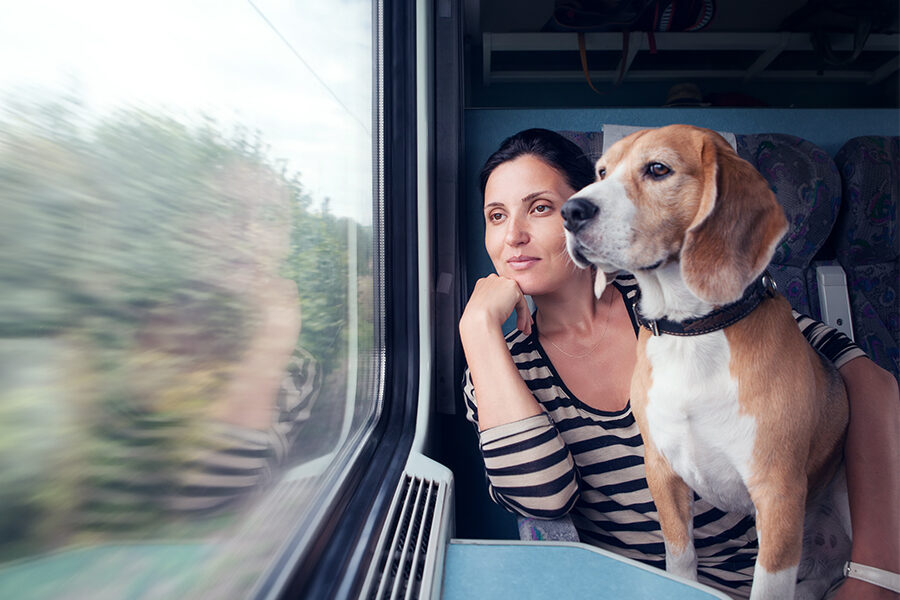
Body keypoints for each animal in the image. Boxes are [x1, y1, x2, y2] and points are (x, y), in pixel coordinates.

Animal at [564, 124, 852, 596]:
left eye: (658, 169)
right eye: (602, 171)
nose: (570, 211)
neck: (692, 331)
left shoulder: (778, 494)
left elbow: (769, 585)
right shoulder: (662, 470)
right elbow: (680, 559)